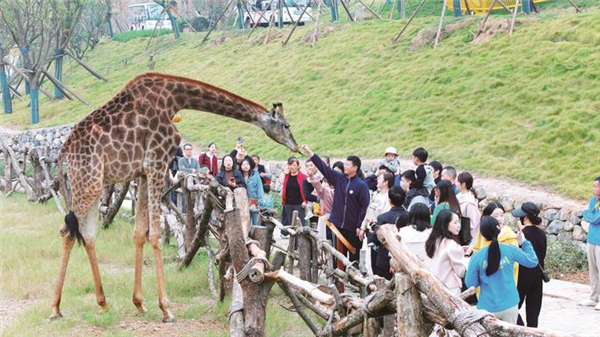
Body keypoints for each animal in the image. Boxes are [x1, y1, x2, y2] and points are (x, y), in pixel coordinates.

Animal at [50, 73, 298, 320]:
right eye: (286, 125)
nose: (295, 146)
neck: (174, 99)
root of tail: (63, 153)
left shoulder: (143, 171)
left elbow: (139, 233)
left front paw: (139, 302)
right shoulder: (157, 162)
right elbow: (155, 235)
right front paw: (165, 308)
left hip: (91, 184)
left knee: (86, 234)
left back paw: (102, 302)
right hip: (88, 183)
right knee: (67, 232)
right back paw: (55, 307)